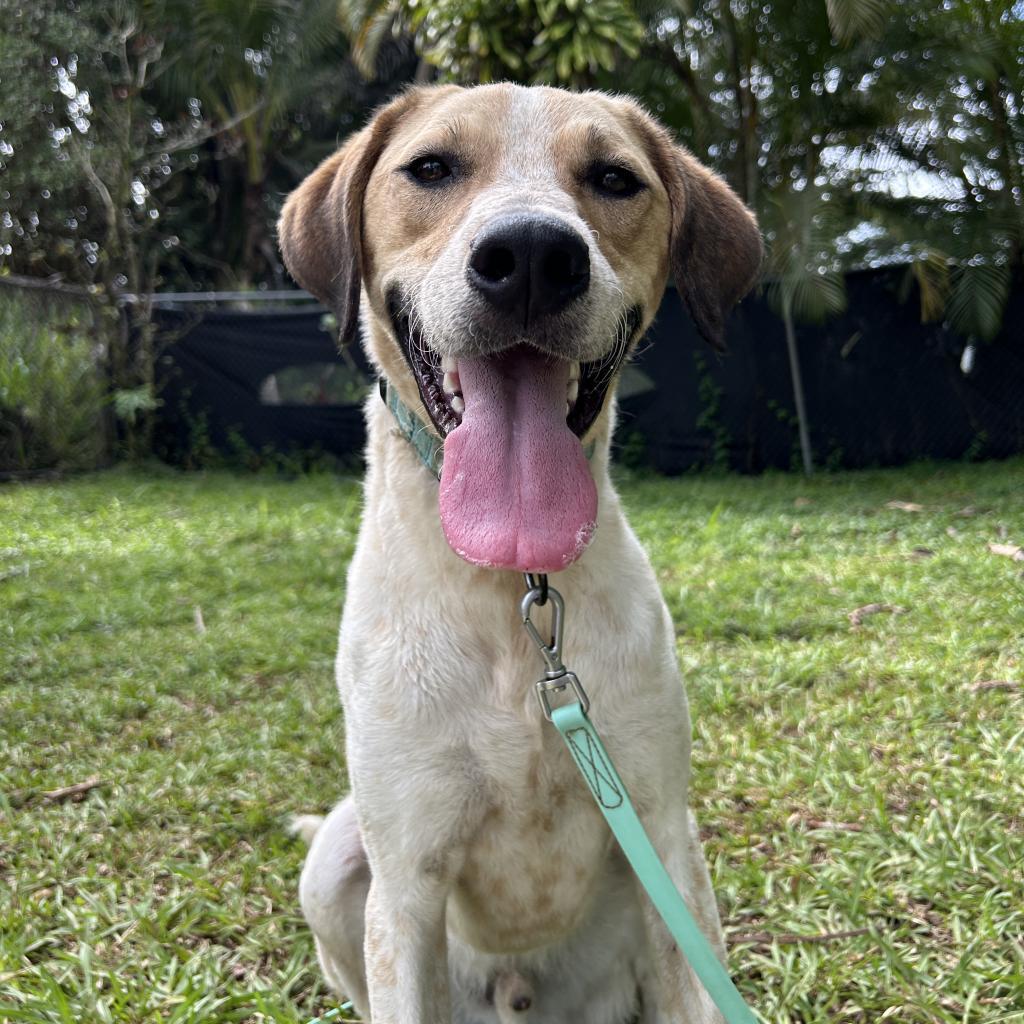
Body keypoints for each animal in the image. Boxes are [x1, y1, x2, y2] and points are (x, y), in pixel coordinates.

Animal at [278, 81, 761, 1024]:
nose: (534, 255)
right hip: (341, 856)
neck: (511, 590)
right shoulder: (406, 883)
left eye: (614, 178)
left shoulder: (663, 837)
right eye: (431, 167)